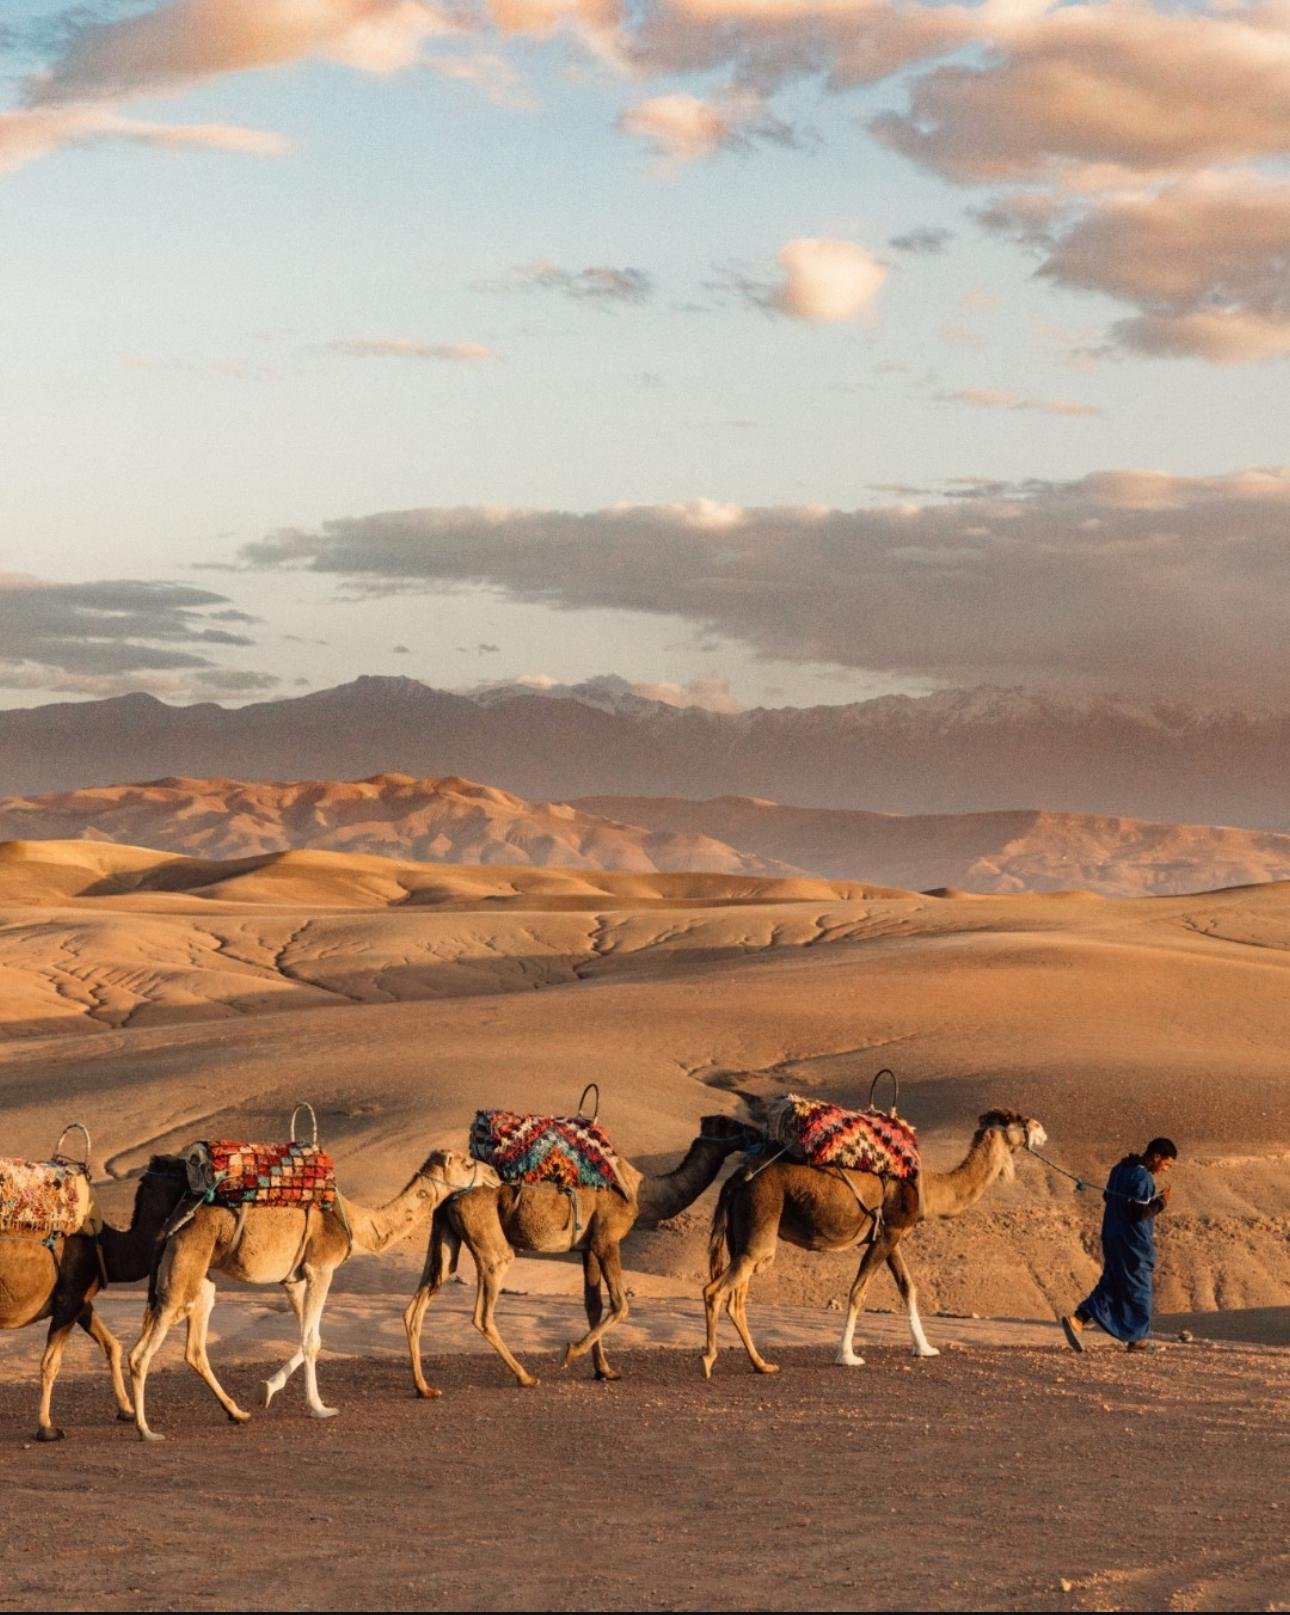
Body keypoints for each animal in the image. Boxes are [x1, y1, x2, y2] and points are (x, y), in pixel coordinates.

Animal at [0, 1156, 189, 1441]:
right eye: (186, 1167)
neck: (107, 1245)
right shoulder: (69, 1300)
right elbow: (50, 1363)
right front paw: (46, 1428)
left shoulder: (81, 1301)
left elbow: (112, 1345)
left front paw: (127, 1410)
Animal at [129, 1147, 492, 1441]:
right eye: (466, 1162)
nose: (492, 1173)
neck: (356, 1224)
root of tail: (170, 1224)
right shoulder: (321, 1267)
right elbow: (311, 1341)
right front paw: (319, 1408)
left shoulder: (294, 1278)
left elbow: (310, 1335)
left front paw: (267, 1390)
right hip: (184, 1267)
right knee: (141, 1354)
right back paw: (146, 1430)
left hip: (200, 1279)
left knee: (194, 1348)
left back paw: (237, 1412)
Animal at [404, 1114, 763, 1394]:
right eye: (731, 1124)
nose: (757, 1134)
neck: (641, 1192)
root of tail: (453, 1194)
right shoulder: (607, 1238)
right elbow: (620, 1304)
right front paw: (571, 1352)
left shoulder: (588, 1246)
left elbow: (594, 1304)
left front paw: (604, 1370)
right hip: (487, 1236)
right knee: (484, 1306)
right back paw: (525, 1376)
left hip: (446, 1233)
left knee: (425, 1293)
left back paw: (424, 1387)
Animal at [701, 1108, 1047, 1378]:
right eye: (1018, 1118)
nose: (1041, 1129)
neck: (927, 1188)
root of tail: (736, 1179)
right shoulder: (890, 1232)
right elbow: (859, 1291)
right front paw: (847, 1356)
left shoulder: (890, 1234)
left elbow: (908, 1287)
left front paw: (925, 1348)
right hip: (761, 1215)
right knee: (716, 1290)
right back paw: (709, 1360)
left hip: (743, 1231)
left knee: (737, 1297)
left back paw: (762, 1364)